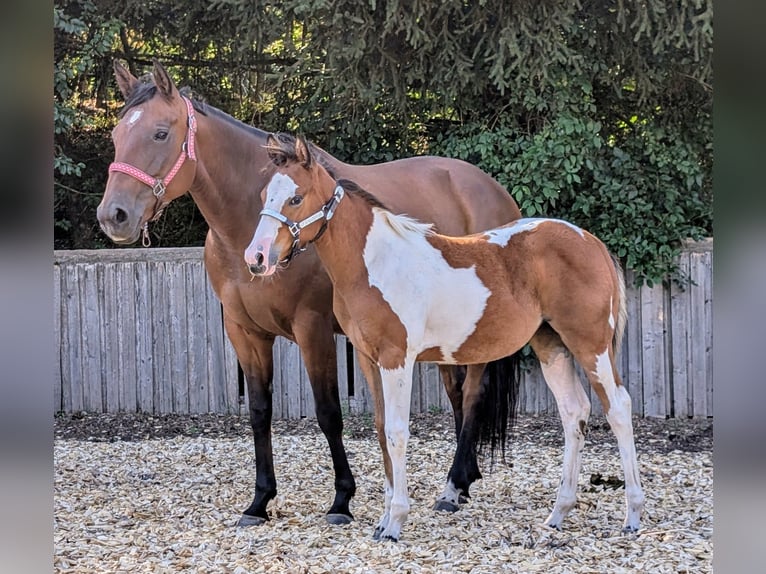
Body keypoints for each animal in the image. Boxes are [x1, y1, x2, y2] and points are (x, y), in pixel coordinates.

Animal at [96, 62, 520, 528]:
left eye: (160, 133)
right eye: (116, 135)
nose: (114, 216)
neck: (248, 229)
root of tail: (494, 191)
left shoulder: (312, 328)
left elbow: (328, 412)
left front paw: (341, 500)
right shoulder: (244, 331)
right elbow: (259, 412)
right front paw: (259, 502)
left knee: (474, 393)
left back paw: (453, 486)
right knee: (457, 393)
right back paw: (464, 480)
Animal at [244, 136, 640, 544]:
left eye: (296, 198)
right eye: (264, 195)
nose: (256, 257)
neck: (375, 262)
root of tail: (592, 243)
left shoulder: (397, 358)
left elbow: (397, 431)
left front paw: (395, 522)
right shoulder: (370, 359)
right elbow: (381, 429)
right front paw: (382, 521)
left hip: (590, 344)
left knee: (618, 407)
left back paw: (633, 516)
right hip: (552, 345)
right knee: (574, 411)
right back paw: (558, 513)